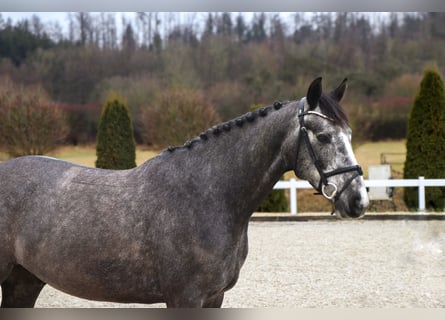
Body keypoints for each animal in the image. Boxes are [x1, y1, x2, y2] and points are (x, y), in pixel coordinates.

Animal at [0, 77, 368, 308]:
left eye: (350, 134)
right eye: (323, 136)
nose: (358, 199)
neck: (209, 194)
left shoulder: (214, 297)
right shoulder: (184, 297)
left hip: (24, 281)